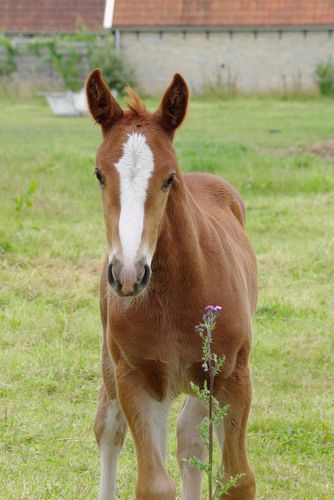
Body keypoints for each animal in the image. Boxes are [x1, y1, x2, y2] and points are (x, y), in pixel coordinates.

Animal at [86, 67, 258, 500]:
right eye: (99, 174)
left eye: (168, 177)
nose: (128, 274)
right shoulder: (137, 380)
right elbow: (154, 484)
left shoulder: (233, 375)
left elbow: (237, 477)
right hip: (113, 364)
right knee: (109, 427)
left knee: (189, 437)